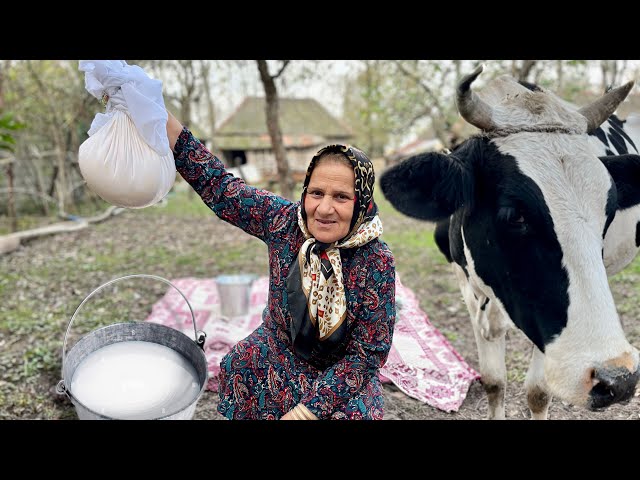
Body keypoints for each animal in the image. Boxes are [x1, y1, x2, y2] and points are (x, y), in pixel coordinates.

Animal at [380, 65, 640, 418]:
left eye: (609, 211)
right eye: (514, 215)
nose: (618, 379)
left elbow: (538, 393)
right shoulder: (467, 285)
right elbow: (494, 381)